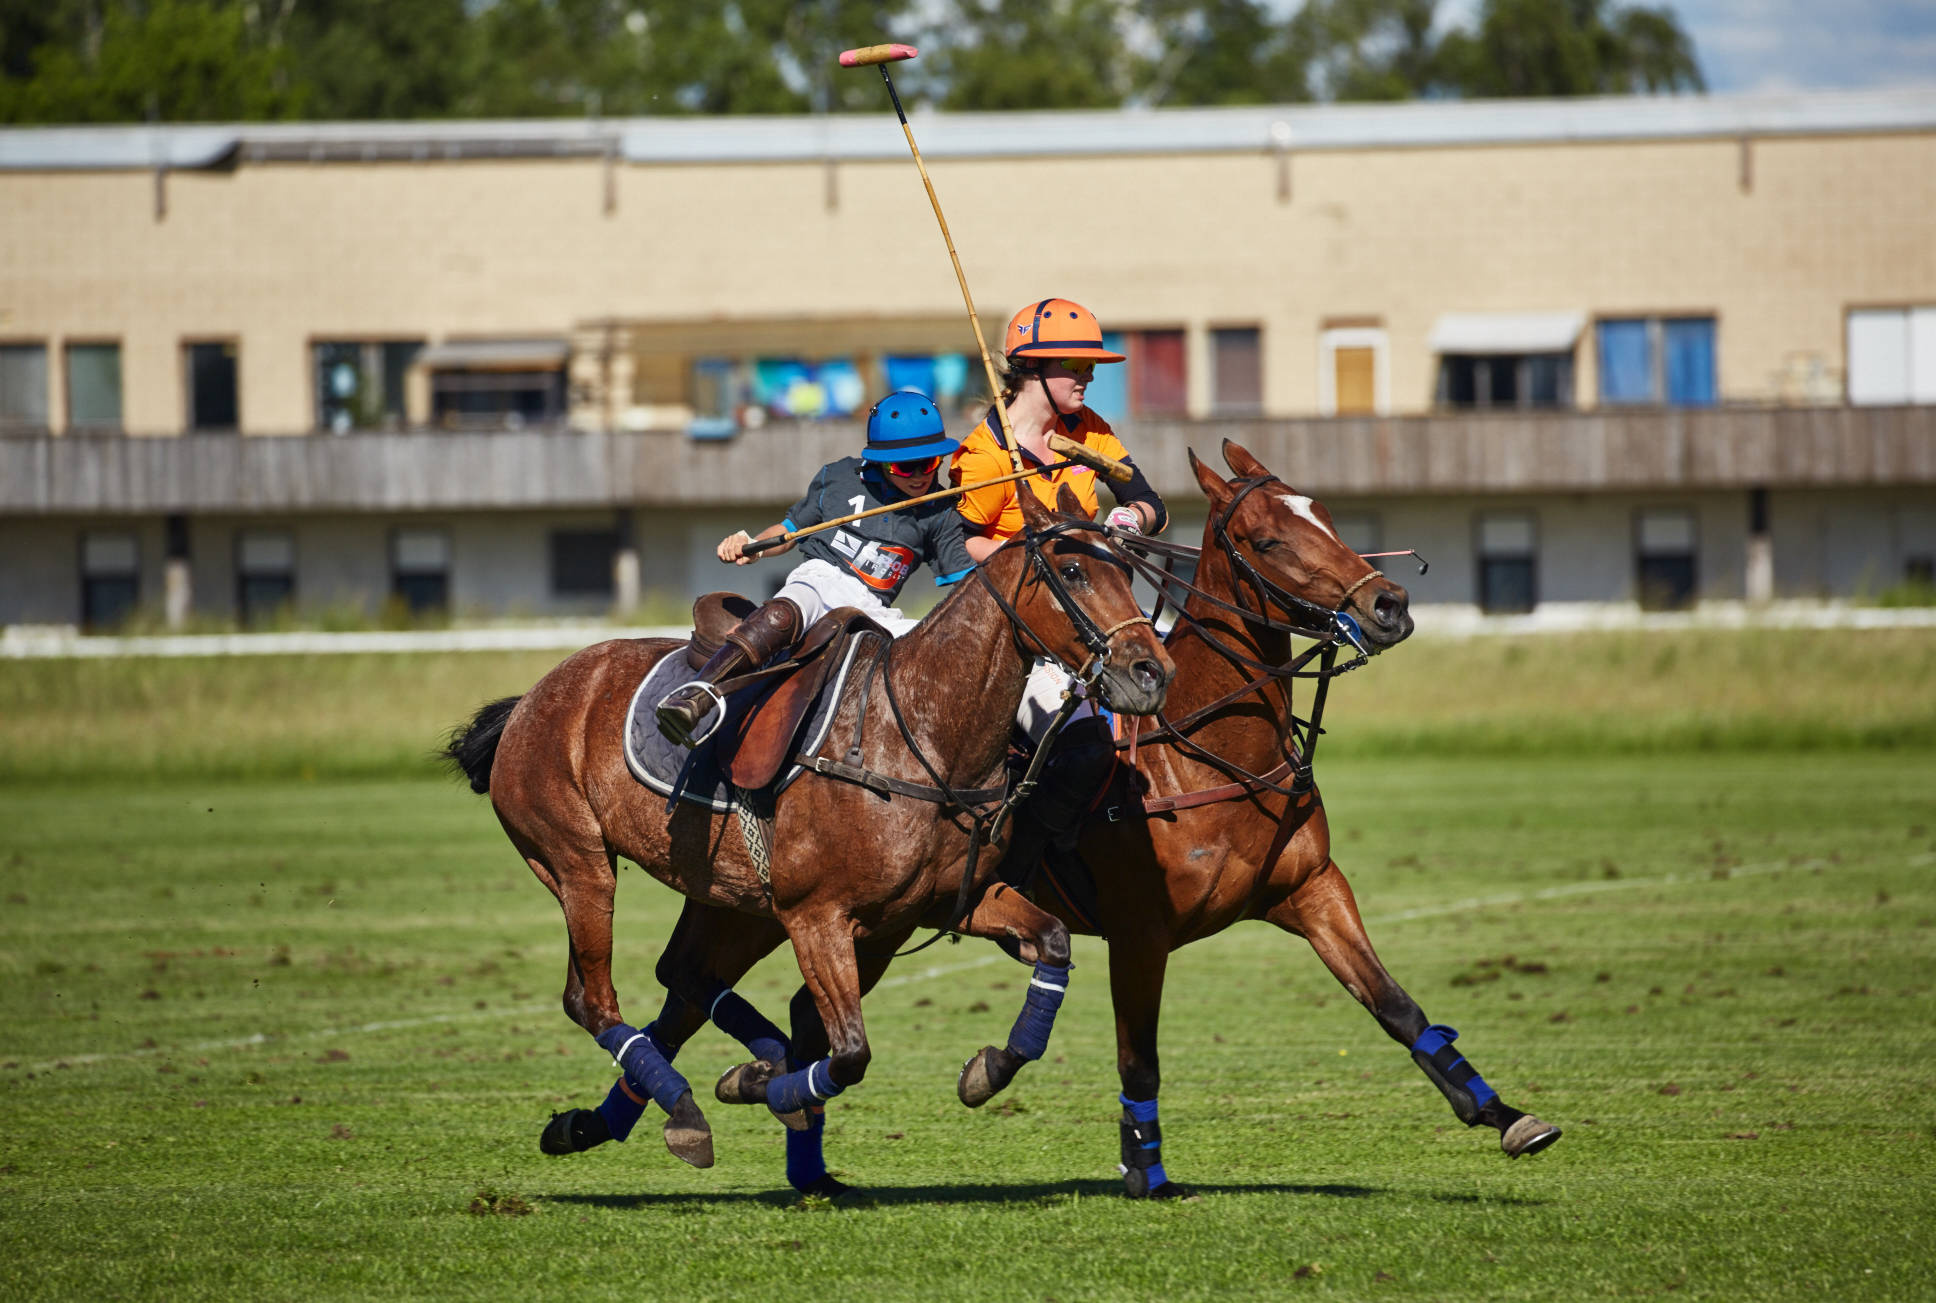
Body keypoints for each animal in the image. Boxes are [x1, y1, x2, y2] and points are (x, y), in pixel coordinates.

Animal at [445, 485, 1169, 1177]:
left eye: (1126, 570)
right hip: (577, 861)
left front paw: (986, 1069)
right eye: (1072, 570)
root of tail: (534, 695)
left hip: (722, 892)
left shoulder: (943, 903)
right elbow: (849, 1053)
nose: (1150, 673)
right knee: (592, 1000)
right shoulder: (818, 916)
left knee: (683, 979)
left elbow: (1051, 944)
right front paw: (766, 1087)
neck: (922, 731)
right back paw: (686, 1108)